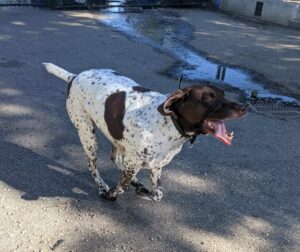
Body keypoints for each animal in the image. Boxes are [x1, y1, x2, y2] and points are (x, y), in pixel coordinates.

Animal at [44, 63, 246, 203]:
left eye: (223, 93)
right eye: (208, 98)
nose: (243, 108)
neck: (170, 123)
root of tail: (74, 77)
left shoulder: (156, 167)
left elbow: (158, 194)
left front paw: (142, 191)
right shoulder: (134, 162)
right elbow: (122, 187)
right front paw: (111, 194)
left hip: (115, 137)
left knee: (115, 160)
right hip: (88, 135)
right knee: (92, 165)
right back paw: (102, 187)